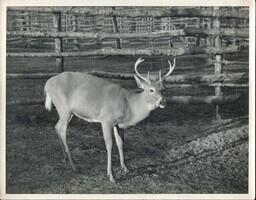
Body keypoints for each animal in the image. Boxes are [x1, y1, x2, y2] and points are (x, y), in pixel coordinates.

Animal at [44, 56, 176, 183]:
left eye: (164, 89)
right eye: (151, 90)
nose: (163, 102)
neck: (129, 106)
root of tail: (47, 84)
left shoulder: (119, 125)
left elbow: (121, 143)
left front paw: (125, 168)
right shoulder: (106, 120)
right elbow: (109, 145)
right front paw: (111, 176)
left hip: (70, 112)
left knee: (56, 126)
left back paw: (65, 157)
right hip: (63, 107)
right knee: (62, 130)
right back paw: (73, 165)